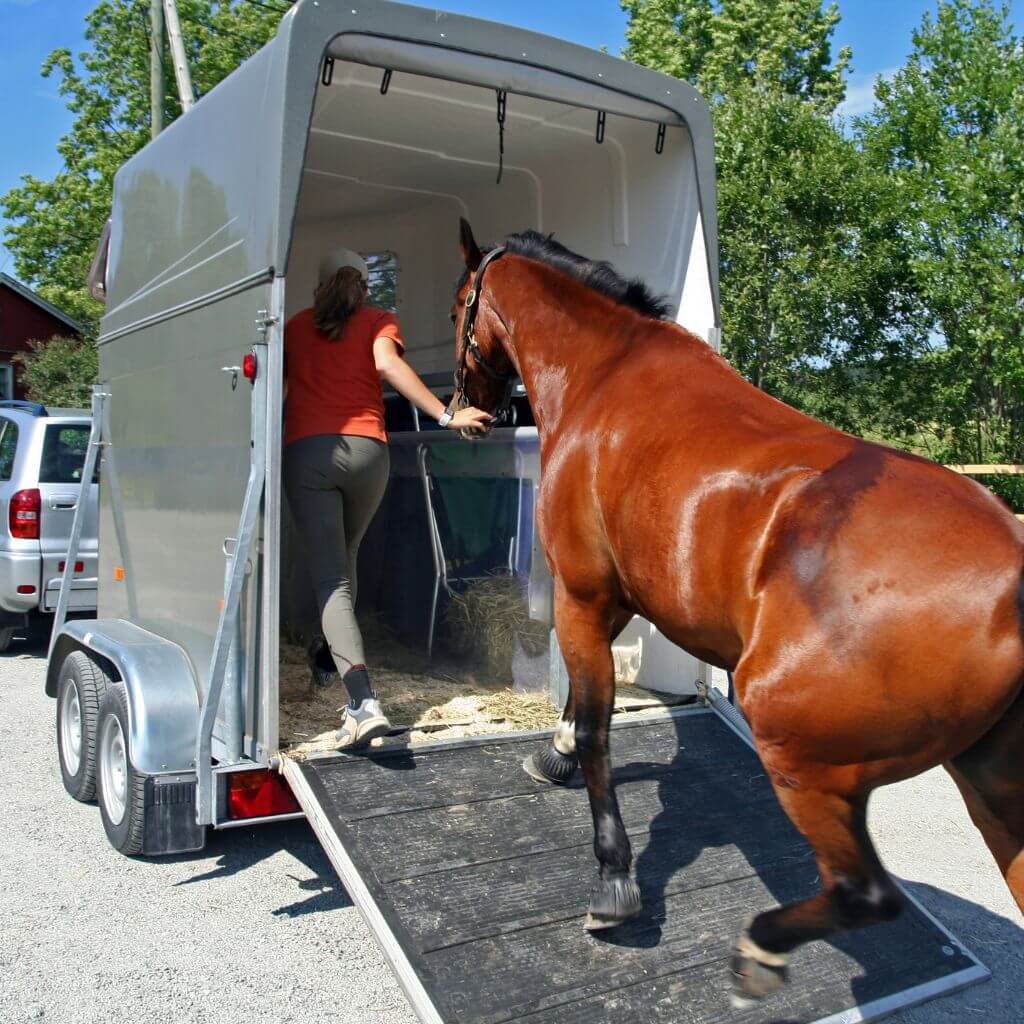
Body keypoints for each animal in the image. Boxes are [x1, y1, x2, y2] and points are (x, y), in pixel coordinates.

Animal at [448, 218, 1024, 1004]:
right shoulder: (618, 596)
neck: (606, 376)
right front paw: (553, 754)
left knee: (865, 895)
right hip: (994, 790)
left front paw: (614, 876)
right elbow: (580, 715)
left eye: (458, 307)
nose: (465, 411)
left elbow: (597, 727)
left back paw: (761, 948)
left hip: (804, 761)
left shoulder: (582, 592)